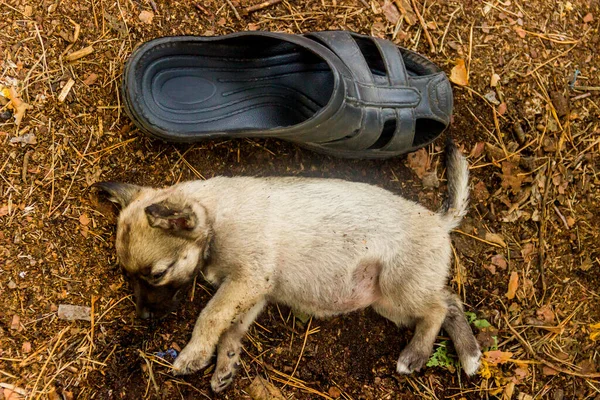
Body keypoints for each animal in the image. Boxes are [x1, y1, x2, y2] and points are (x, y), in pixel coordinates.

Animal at [97, 142, 482, 392]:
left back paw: (416, 354)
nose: (143, 318)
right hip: (389, 302)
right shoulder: (254, 293)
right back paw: (471, 354)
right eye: (128, 277)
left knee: (438, 308)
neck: (216, 219)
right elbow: (232, 328)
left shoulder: (246, 281)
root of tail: (440, 221)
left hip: (398, 287)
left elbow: (211, 316)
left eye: (157, 274)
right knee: (451, 303)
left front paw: (194, 354)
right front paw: (226, 362)